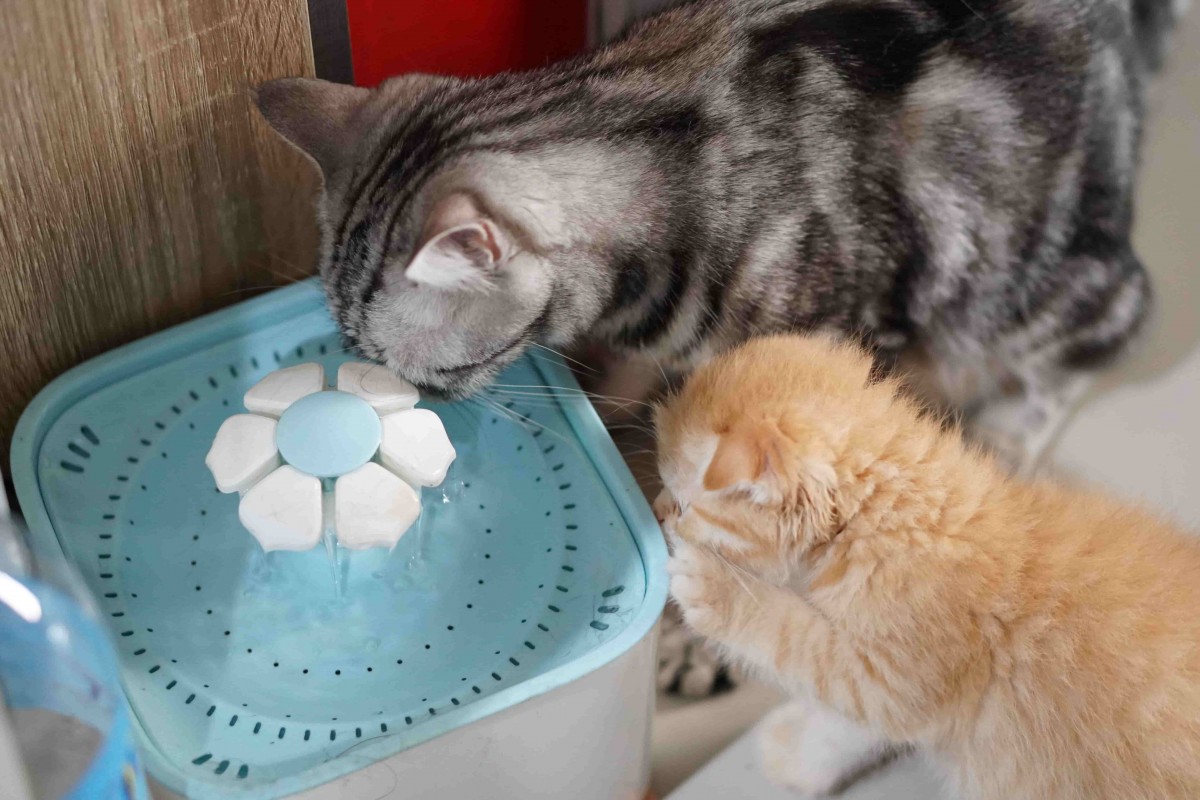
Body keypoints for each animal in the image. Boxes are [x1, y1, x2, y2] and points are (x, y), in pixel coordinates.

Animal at [657, 335, 1200, 800]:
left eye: (682, 505)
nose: (658, 512)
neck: (895, 516)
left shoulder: (893, 679)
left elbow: (798, 645)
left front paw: (714, 588)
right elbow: (848, 732)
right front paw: (801, 757)